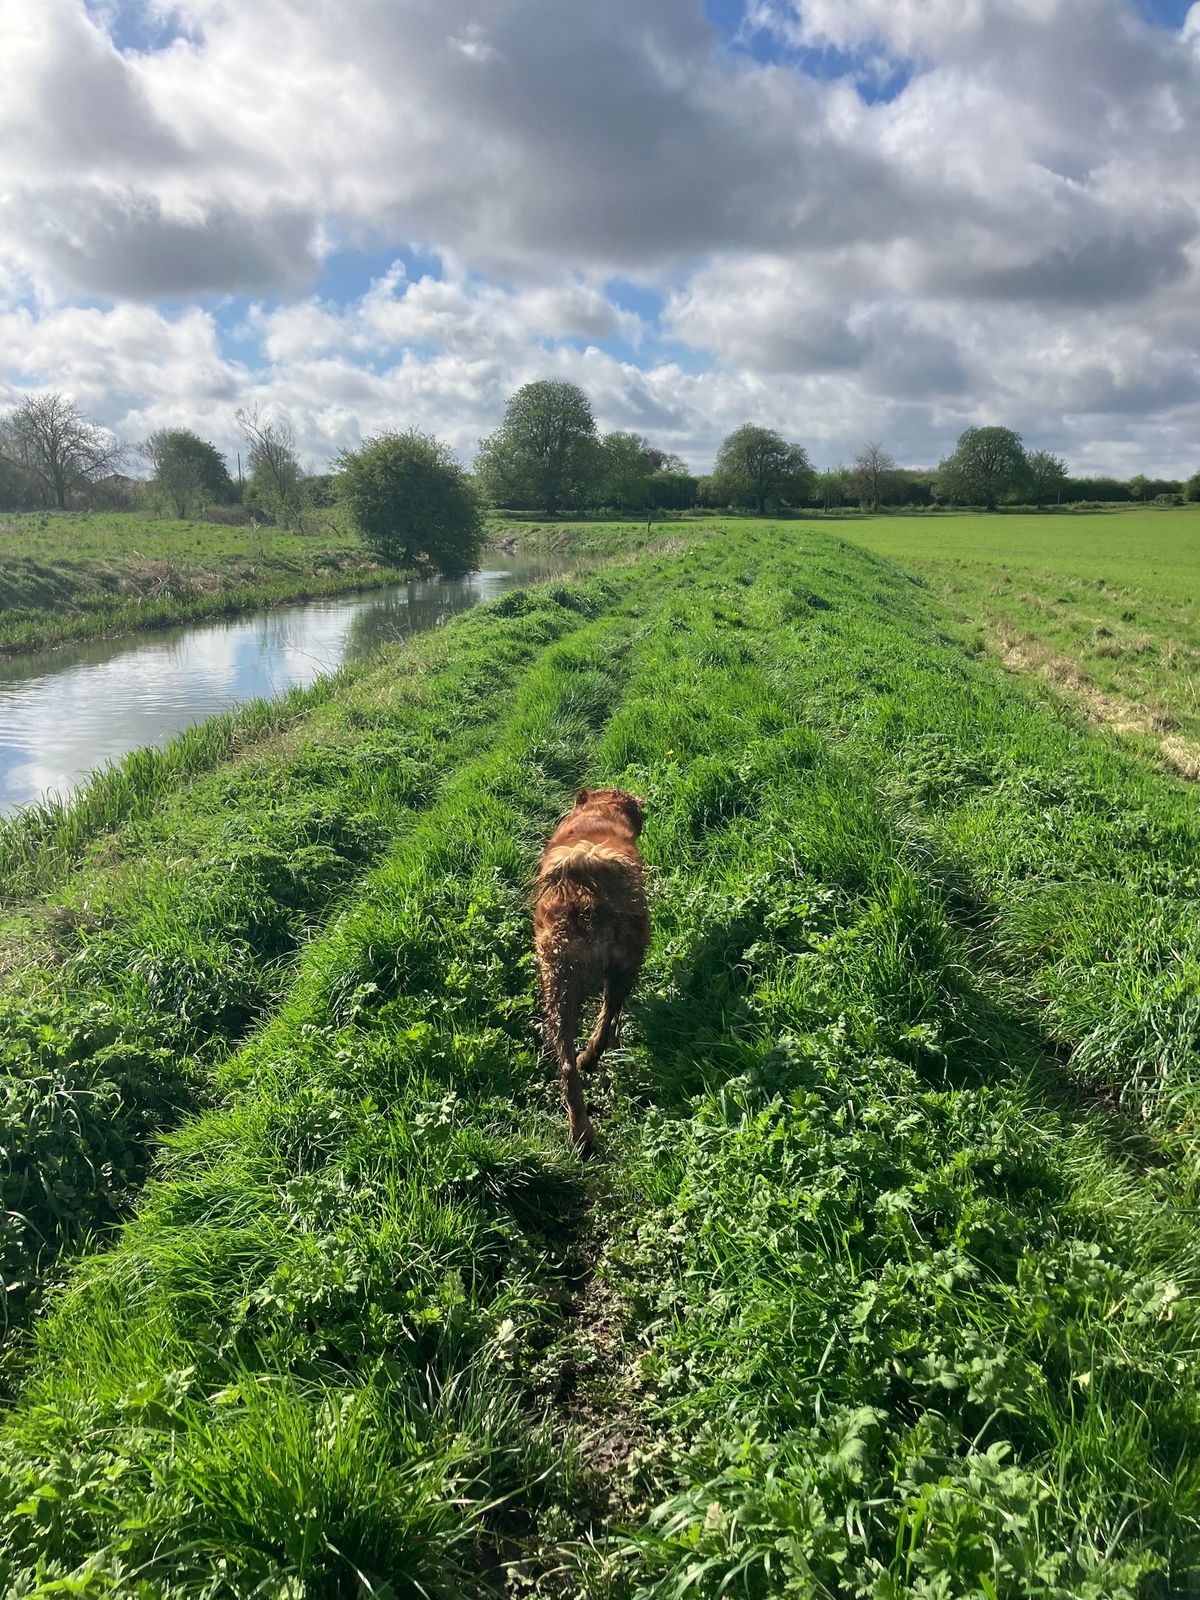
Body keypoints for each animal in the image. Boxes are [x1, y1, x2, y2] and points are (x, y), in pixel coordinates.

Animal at [534, 787, 649, 1152]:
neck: (598, 816)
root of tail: (583, 897)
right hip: (627, 961)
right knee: (608, 1014)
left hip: (559, 981)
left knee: (568, 1064)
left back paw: (581, 1133)